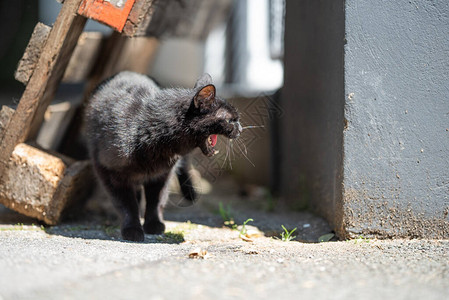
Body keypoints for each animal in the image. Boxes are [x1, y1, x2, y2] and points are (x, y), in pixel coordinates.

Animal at [86, 72, 243, 241]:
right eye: (230, 119)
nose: (241, 129)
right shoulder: (110, 172)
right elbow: (126, 204)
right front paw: (132, 229)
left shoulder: (162, 174)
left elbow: (156, 200)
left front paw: (154, 225)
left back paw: (190, 194)